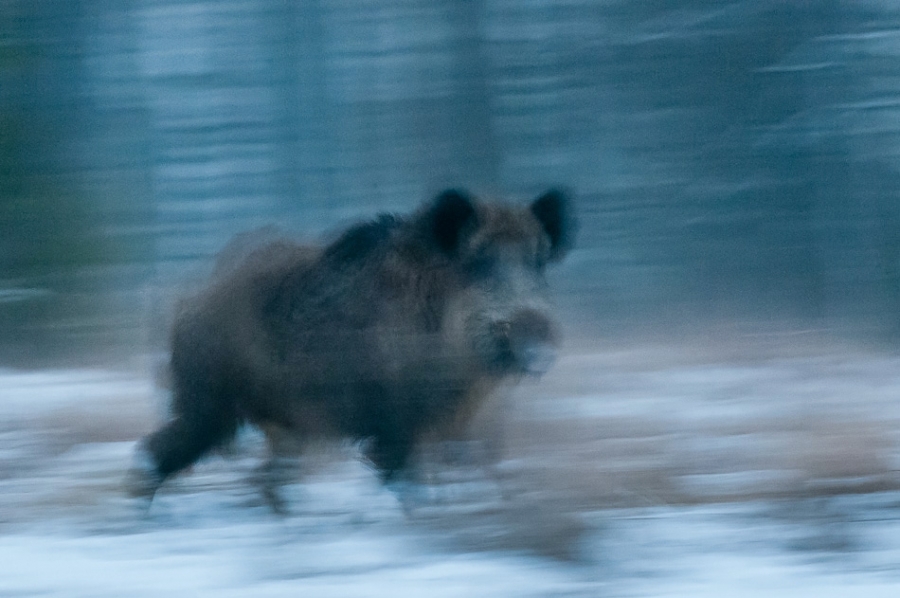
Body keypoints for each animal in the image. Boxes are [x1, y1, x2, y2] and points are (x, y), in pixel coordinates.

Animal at [129, 188, 573, 511]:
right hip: (209, 405)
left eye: (538, 262)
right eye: (479, 261)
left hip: (281, 425)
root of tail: (187, 305)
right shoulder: (395, 422)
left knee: (264, 478)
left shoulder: (454, 424)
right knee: (157, 452)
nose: (536, 339)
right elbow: (402, 477)